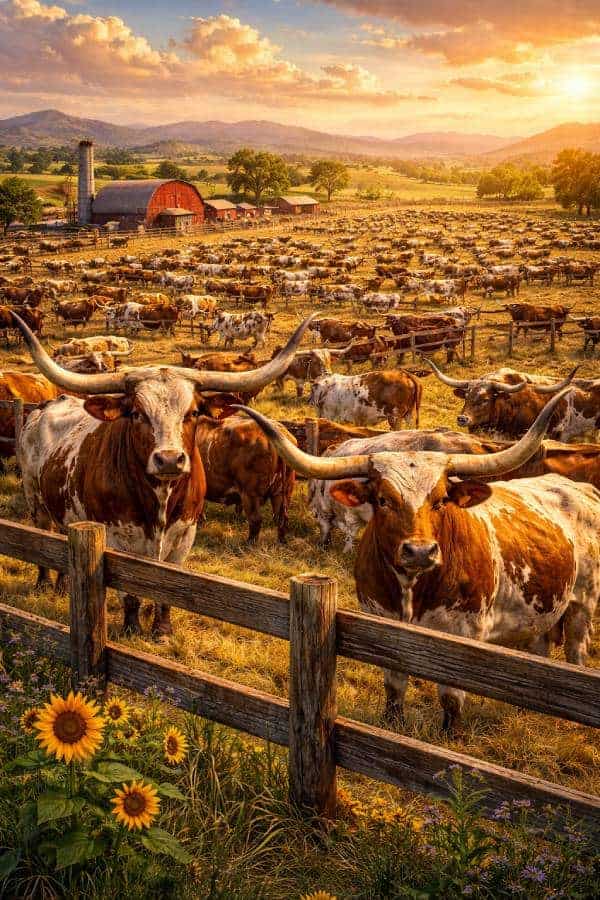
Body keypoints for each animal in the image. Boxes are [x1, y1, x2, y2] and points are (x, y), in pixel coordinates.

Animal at [11, 312, 313, 637]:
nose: (169, 459)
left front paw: (163, 630)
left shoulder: (184, 536)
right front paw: (132, 627)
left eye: (193, 413)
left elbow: (169, 587)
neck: (160, 499)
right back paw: (44, 583)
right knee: (43, 542)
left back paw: (63, 586)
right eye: (137, 413)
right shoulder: (118, 539)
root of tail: (46, 406)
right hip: (36, 501)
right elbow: (129, 593)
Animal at [240, 394, 600, 730]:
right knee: (542, 646)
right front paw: (393, 724)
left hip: (582, 603)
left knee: (575, 652)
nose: (420, 551)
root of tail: (578, 488)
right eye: (382, 500)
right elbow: (394, 686)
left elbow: (451, 698)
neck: (412, 588)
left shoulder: (462, 634)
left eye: (440, 500)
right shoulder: (383, 626)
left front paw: (449, 736)